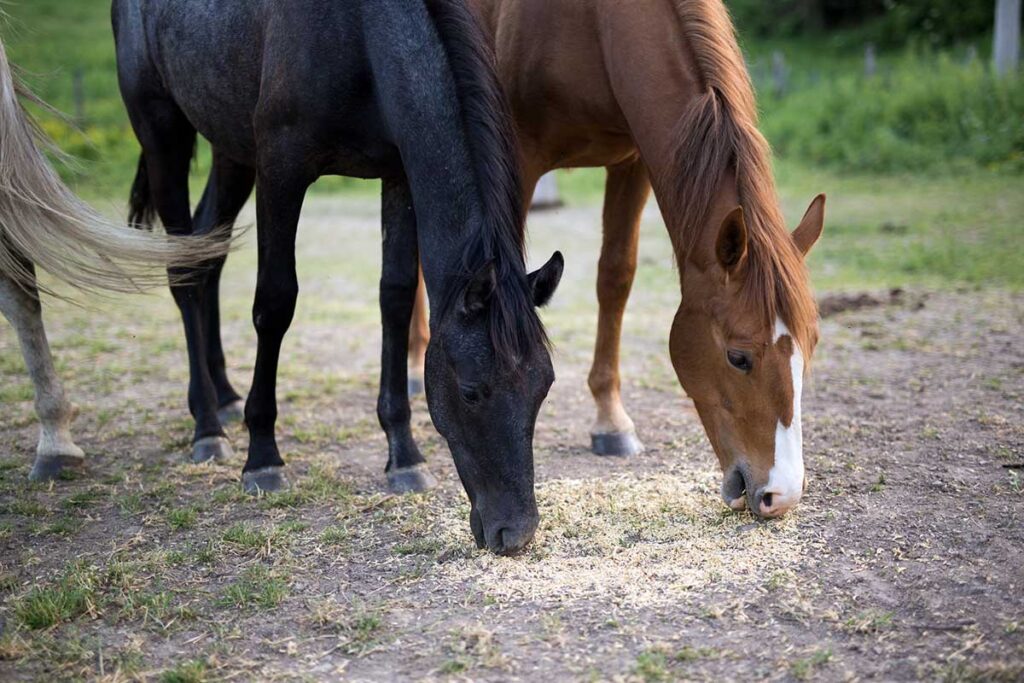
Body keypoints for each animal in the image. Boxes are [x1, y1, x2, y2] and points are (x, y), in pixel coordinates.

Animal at [115, 0, 565, 557]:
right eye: (471, 392)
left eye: (543, 388)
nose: (515, 532)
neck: (358, 31)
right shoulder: (281, 166)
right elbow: (275, 303)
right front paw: (262, 457)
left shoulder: (398, 173)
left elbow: (395, 298)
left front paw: (404, 454)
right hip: (164, 134)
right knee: (183, 270)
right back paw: (206, 425)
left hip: (231, 152)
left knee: (207, 257)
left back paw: (223, 395)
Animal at [407, 0, 823, 516]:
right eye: (738, 357)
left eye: (812, 344)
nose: (781, 495)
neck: (592, 25)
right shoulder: (514, 157)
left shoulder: (635, 162)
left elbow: (616, 275)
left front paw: (610, 421)